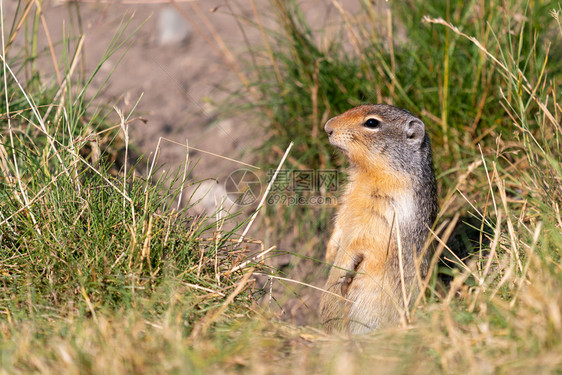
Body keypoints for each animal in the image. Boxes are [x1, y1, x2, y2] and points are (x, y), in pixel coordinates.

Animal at [318, 103, 436, 334]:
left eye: (372, 122)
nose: (327, 127)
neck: (367, 174)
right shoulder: (348, 199)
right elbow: (340, 224)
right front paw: (329, 253)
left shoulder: (388, 211)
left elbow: (362, 242)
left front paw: (345, 270)